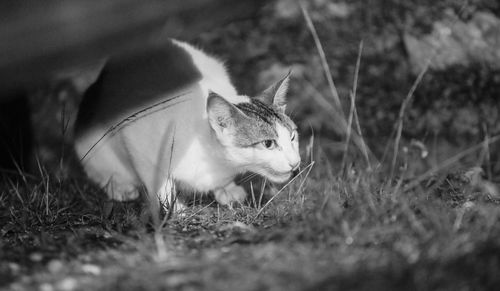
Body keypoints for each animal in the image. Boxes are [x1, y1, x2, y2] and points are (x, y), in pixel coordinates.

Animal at [74, 38, 300, 210]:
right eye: (268, 143)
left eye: (292, 136)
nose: (296, 163)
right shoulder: (137, 140)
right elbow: (159, 181)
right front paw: (173, 208)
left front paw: (226, 188)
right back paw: (119, 186)